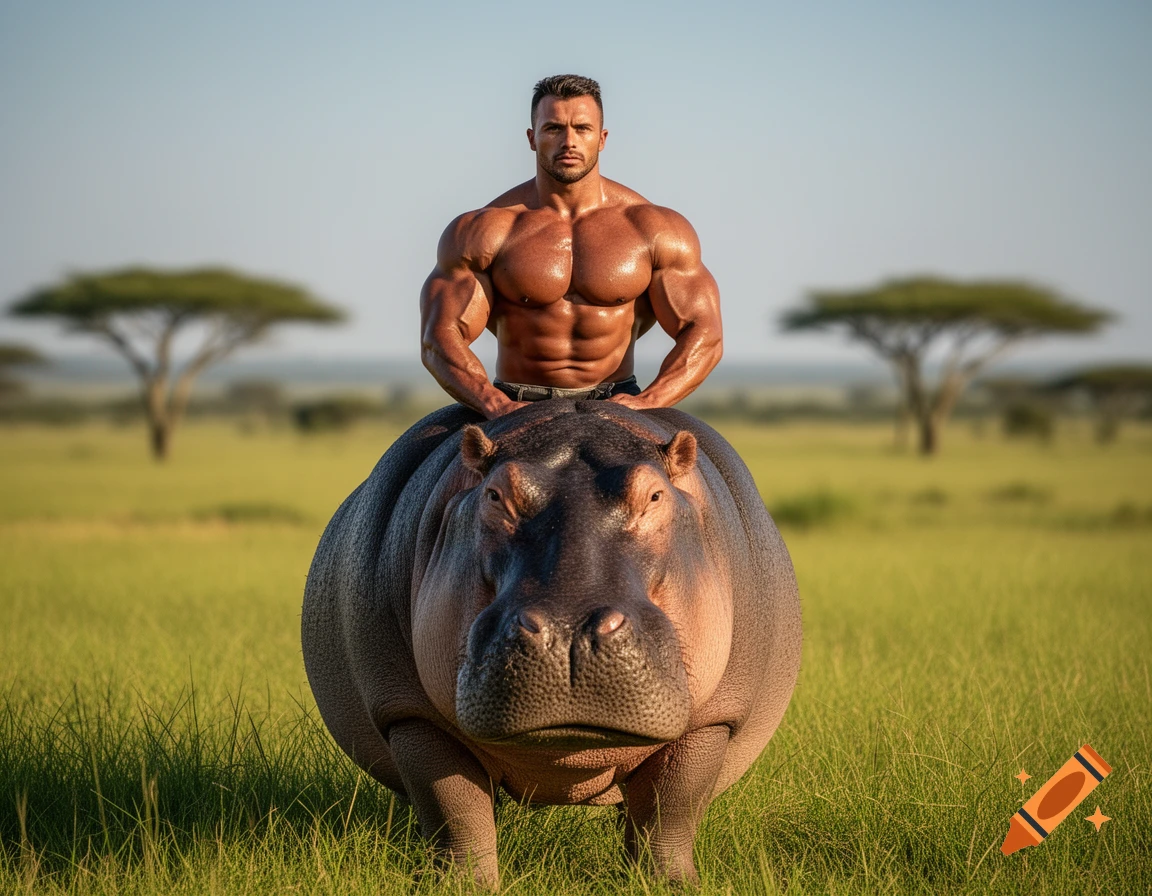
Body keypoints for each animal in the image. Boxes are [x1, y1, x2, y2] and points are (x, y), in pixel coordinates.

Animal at [301, 400, 801, 886]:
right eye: (495, 494)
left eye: (655, 495)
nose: (568, 632)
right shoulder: (410, 714)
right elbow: (454, 808)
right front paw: (462, 885)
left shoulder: (714, 719)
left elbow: (671, 809)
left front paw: (671, 885)